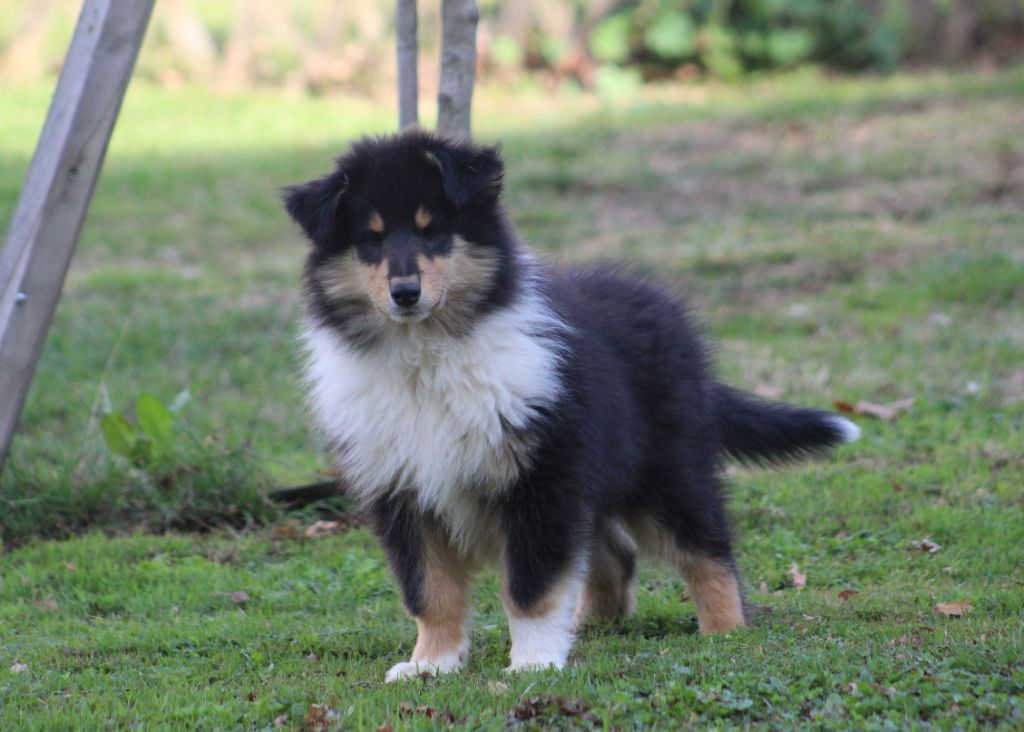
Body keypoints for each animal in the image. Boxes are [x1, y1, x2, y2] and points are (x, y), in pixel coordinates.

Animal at [284, 130, 860, 679]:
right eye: (370, 239)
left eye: (433, 231)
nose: (405, 293)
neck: (425, 355)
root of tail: (669, 313)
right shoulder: (402, 489)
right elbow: (430, 591)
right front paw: (431, 663)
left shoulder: (539, 478)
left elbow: (530, 584)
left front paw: (534, 661)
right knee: (616, 551)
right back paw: (594, 622)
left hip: (668, 466)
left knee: (708, 549)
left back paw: (725, 631)